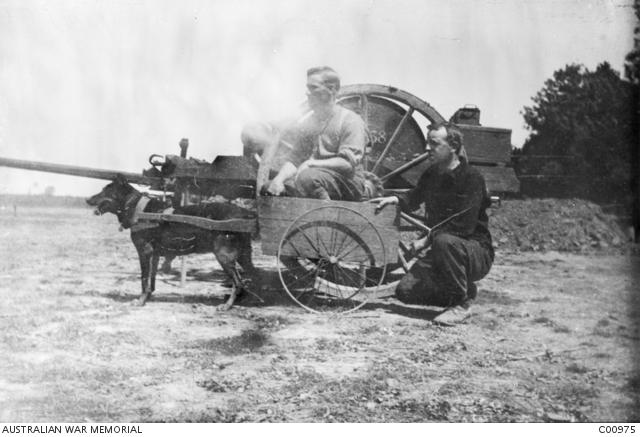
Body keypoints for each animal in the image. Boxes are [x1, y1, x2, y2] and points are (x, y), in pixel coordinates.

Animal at [86, 172, 256, 308]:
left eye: (105, 190)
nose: (88, 199)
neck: (137, 209)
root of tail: (243, 213)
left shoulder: (144, 252)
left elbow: (144, 278)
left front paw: (140, 301)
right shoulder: (154, 254)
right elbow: (151, 280)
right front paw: (148, 297)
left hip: (224, 256)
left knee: (238, 283)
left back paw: (227, 305)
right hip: (243, 255)